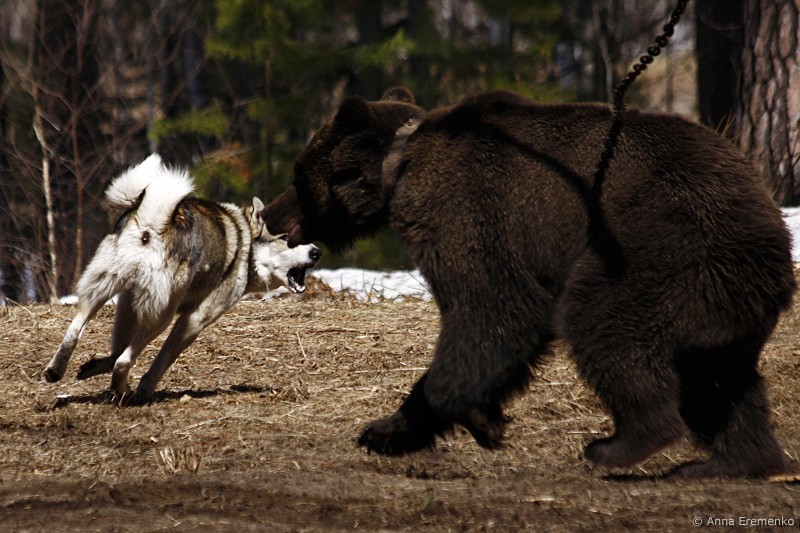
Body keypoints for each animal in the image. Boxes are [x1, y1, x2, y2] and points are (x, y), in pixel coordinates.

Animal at [43, 154, 321, 404]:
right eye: (286, 238)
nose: (317, 252)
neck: (248, 248)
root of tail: (151, 224)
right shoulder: (193, 321)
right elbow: (159, 359)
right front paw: (144, 389)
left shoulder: (128, 302)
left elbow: (114, 352)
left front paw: (91, 367)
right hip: (162, 316)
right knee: (124, 361)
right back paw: (124, 392)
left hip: (102, 292)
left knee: (75, 330)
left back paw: (56, 371)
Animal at [263, 86, 796, 478]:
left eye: (298, 175)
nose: (269, 212)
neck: (400, 167)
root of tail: (773, 231)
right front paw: (454, 423)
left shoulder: (470, 206)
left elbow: (494, 309)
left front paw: (415, 425)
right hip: (720, 301)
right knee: (721, 378)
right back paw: (732, 462)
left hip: (659, 250)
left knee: (605, 324)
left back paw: (622, 442)